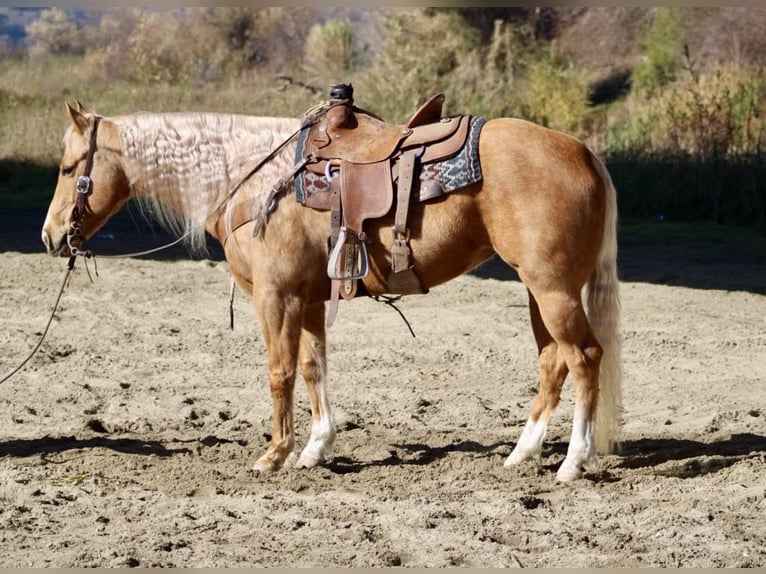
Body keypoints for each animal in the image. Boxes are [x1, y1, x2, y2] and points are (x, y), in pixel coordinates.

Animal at [41, 100, 622, 482]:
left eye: (69, 168)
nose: (50, 236)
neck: (253, 178)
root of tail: (582, 152)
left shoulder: (275, 297)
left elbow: (279, 372)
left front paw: (274, 455)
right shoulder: (310, 300)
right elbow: (313, 367)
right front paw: (315, 448)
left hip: (553, 289)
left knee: (584, 356)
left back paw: (573, 462)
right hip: (538, 291)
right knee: (553, 361)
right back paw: (522, 454)